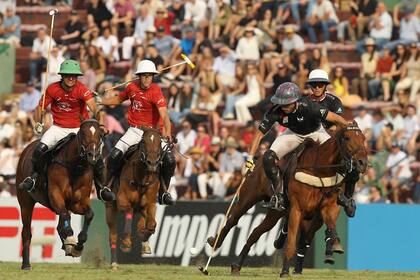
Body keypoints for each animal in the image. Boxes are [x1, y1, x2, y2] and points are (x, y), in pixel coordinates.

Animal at [16, 118, 103, 270]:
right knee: (26, 232)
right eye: (83, 133)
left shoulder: (77, 203)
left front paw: (77, 245)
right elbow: (65, 217)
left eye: (100, 134)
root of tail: (27, 148)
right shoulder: (56, 196)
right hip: (25, 202)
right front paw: (70, 238)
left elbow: (89, 214)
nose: (93, 156)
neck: (75, 166)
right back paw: (26, 264)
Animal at [105, 127, 169, 270]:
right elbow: (128, 216)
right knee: (112, 235)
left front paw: (145, 241)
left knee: (144, 221)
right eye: (144, 142)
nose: (152, 163)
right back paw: (114, 263)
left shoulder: (150, 203)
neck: (142, 177)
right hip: (110, 208)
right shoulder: (123, 201)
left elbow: (151, 224)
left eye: (160, 143)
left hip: (142, 207)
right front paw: (126, 243)